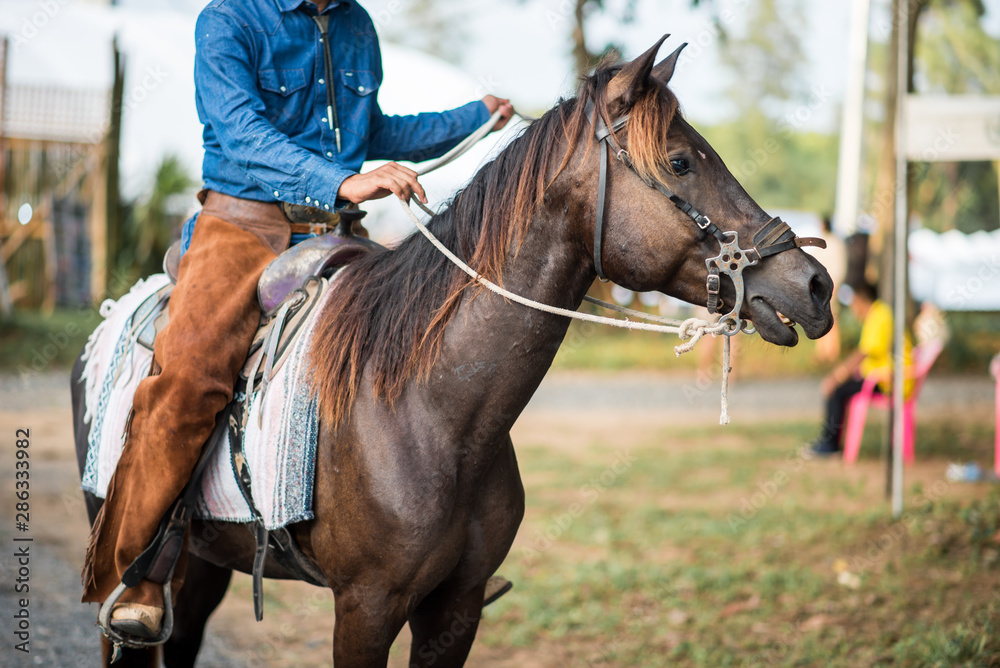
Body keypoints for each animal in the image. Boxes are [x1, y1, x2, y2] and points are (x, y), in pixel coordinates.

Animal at [72, 39, 836, 664]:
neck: (428, 412)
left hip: (207, 561)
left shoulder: (456, 610)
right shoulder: (366, 609)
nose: (816, 284)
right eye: (679, 161)